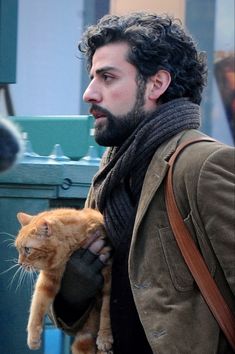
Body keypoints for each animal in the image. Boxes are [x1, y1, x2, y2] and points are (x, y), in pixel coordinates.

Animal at [14, 207, 113, 354]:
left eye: (27, 250)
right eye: (18, 249)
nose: (20, 263)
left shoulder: (108, 276)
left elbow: (106, 311)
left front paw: (105, 336)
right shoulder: (49, 279)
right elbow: (37, 306)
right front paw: (33, 338)